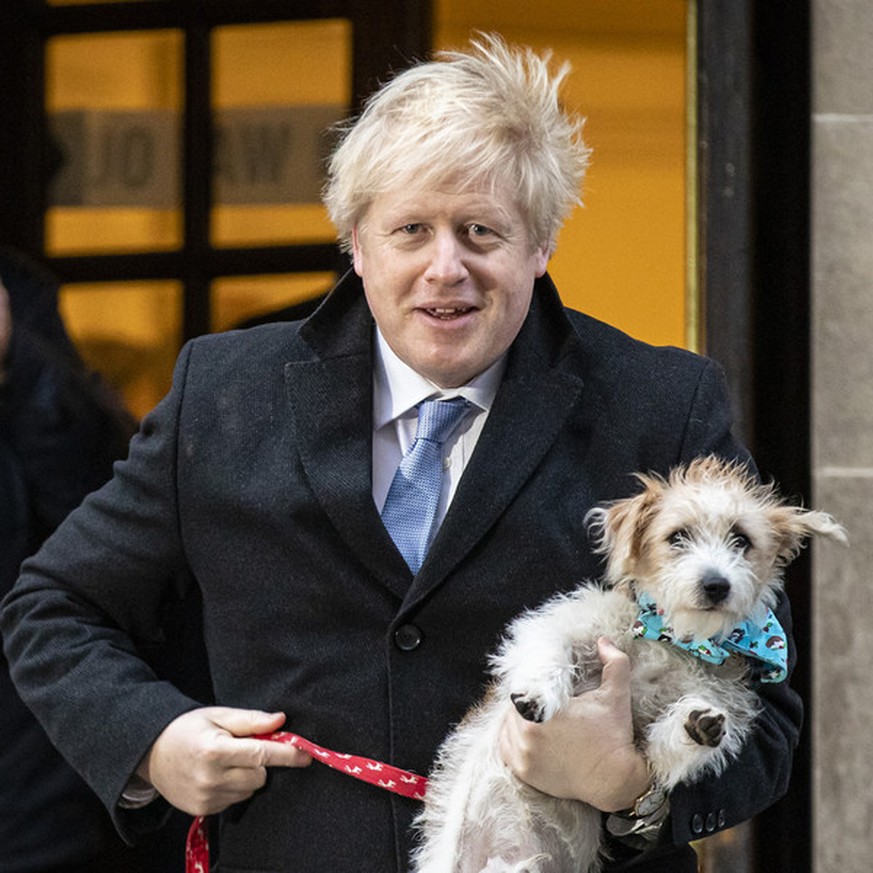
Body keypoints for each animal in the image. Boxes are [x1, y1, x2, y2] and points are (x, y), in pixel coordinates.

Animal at [410, 456, 844, 872]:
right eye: (677, 537)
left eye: (741, 540)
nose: (716, 584)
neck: (675, 639)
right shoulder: (566, 623)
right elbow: (549, 648)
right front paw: (538, 693)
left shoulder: (674, 726)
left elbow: (665, 749)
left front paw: (698, 724)